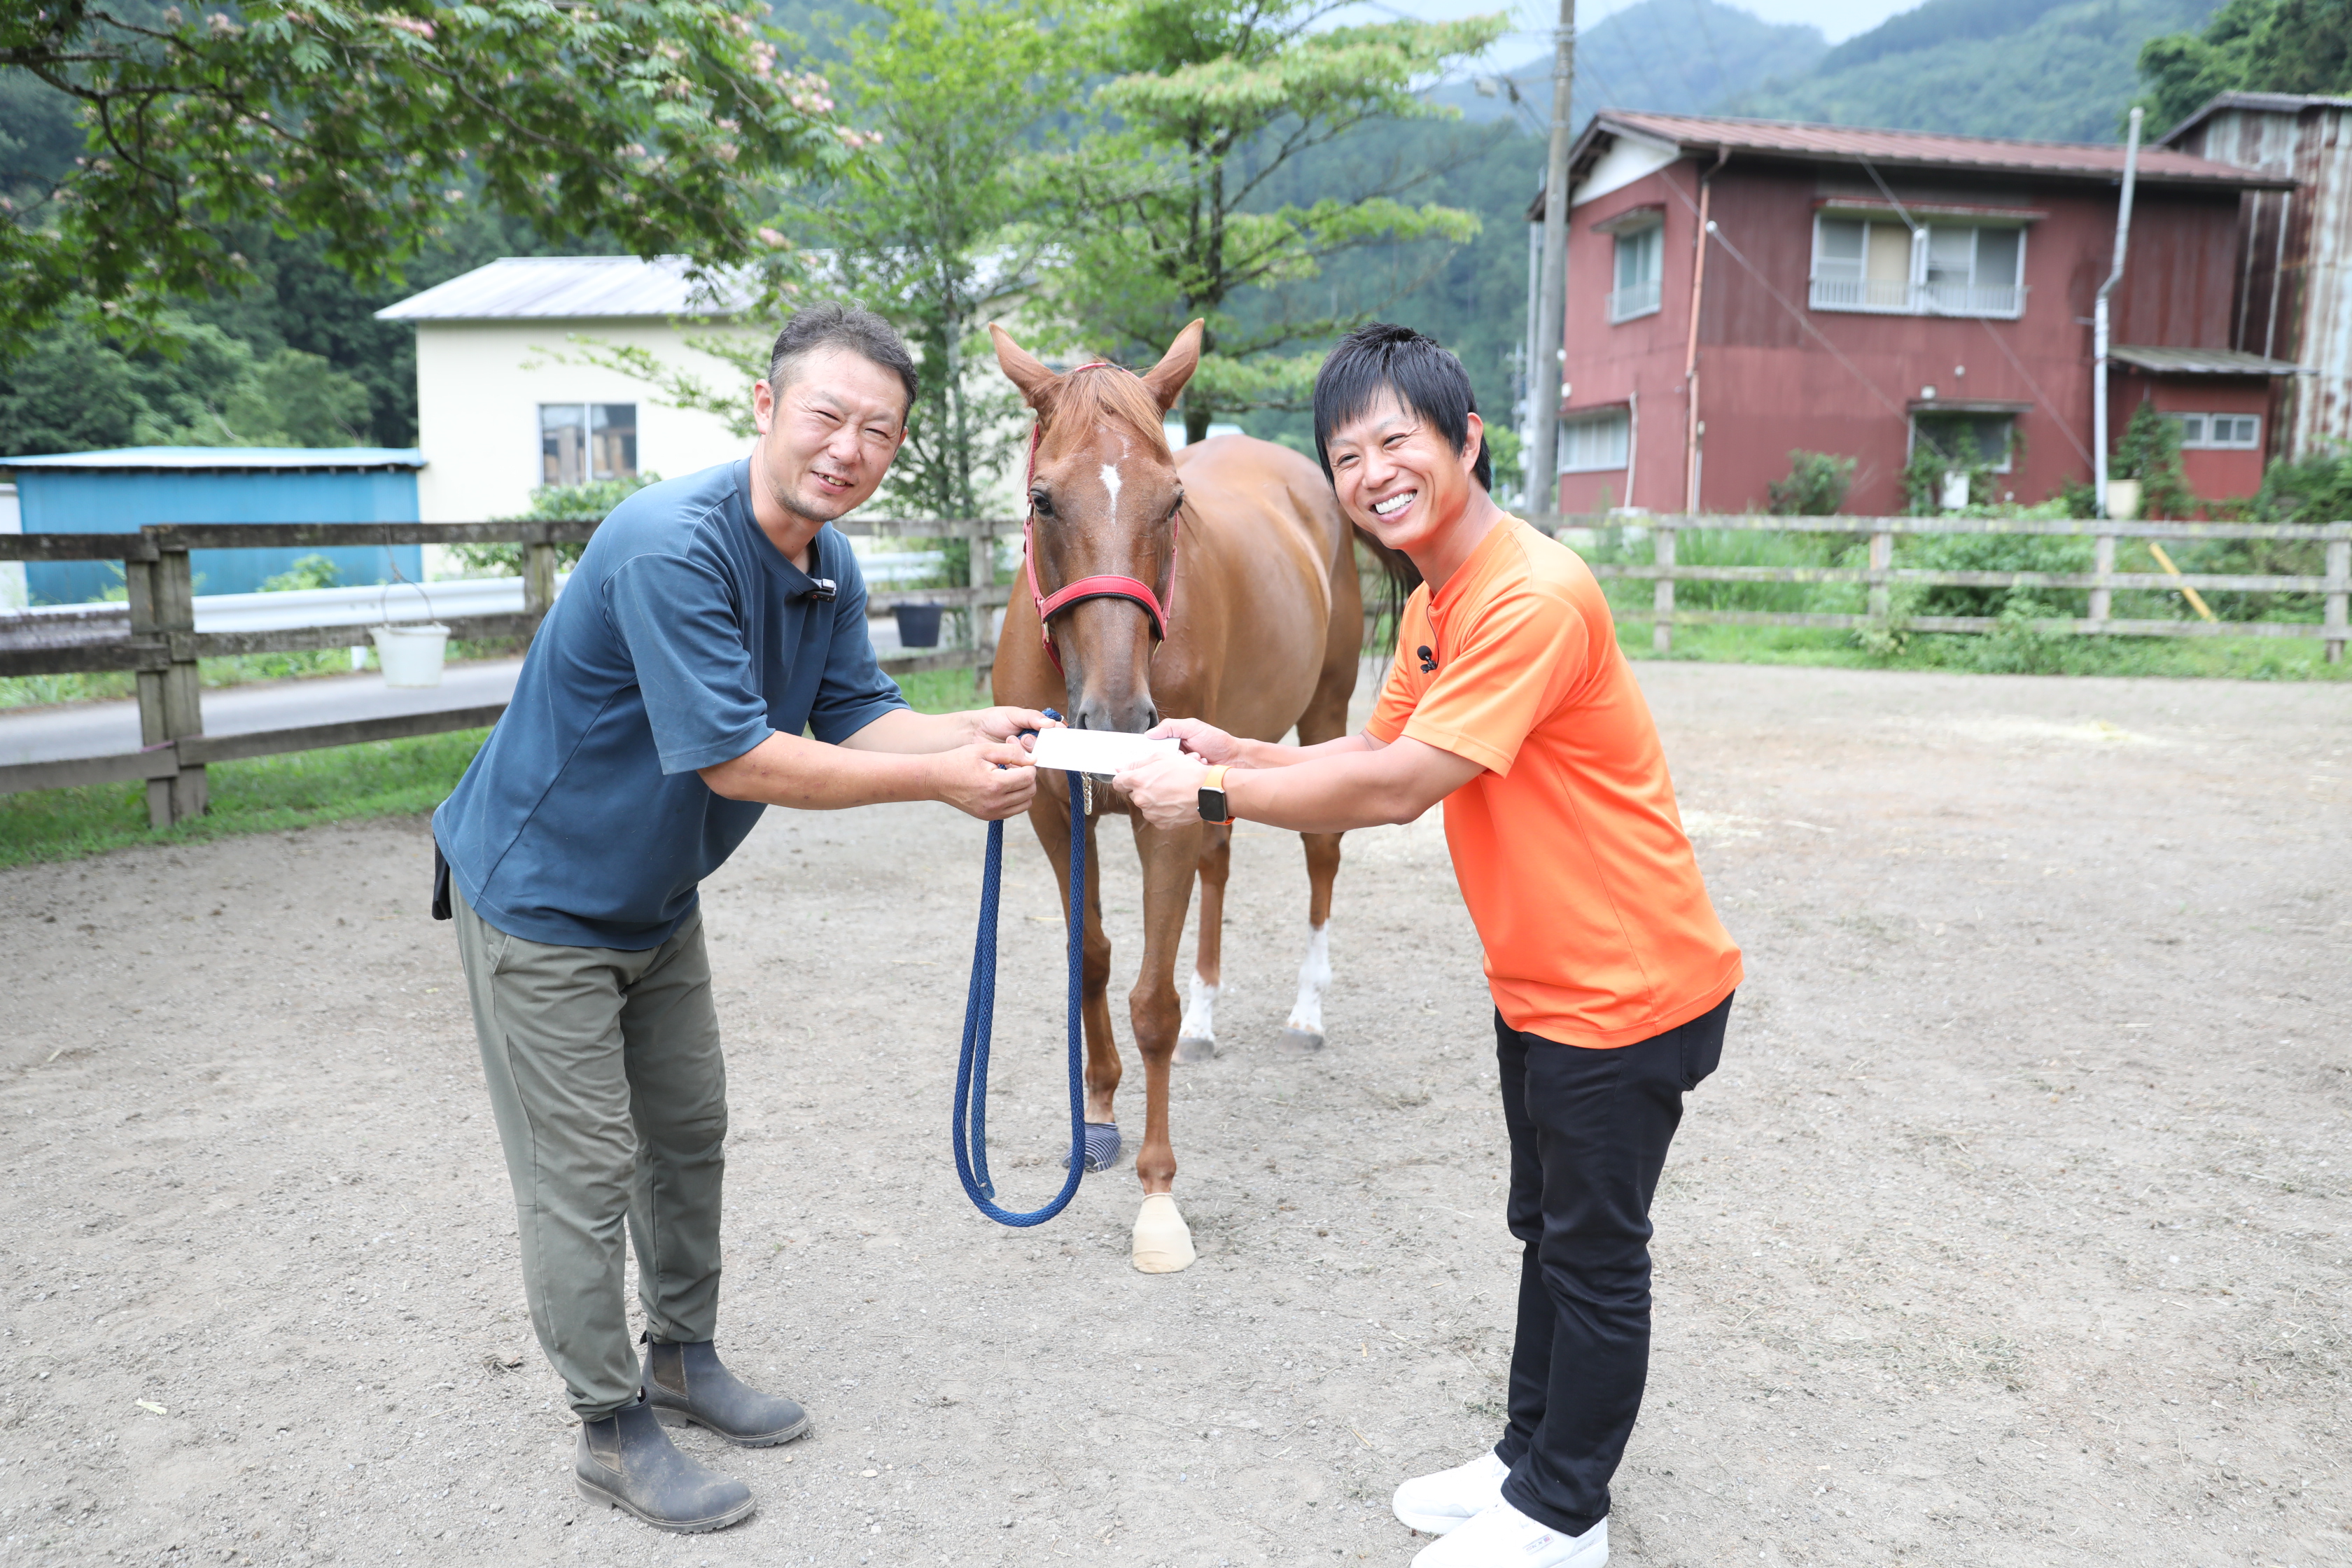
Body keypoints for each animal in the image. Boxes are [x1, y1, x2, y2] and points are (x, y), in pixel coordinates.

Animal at [987, 318, 1406, 1274]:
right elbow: (1092, 959)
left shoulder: (1160, 819)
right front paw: (1099, 1117)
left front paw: (1158, 1197)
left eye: (1173, 501)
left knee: (1321, 851)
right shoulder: (1054, 813)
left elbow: (1151, 1005)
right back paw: (1214, 1016)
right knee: (1221, 864)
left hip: (1323, 712)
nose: (1114, 719)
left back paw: (1306, 1008)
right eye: (1042, 499)